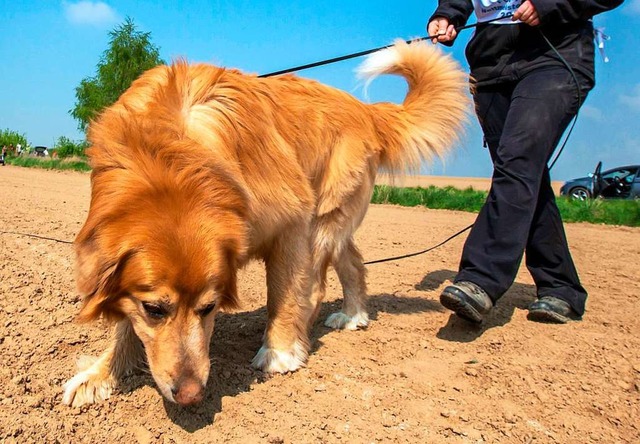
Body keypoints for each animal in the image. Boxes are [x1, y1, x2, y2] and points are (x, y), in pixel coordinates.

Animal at [62, 40, 468, 408]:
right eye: (154, 310)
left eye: (209, 308)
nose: (192, 395)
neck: (170, 160)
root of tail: (365, 110)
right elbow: (125, 321)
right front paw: (102, 373)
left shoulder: (293, 222)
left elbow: (284, 295)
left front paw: (280, 352)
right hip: (335, 222)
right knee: (353, 262)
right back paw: (353, 316)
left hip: (323, 220)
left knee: (316, 286)